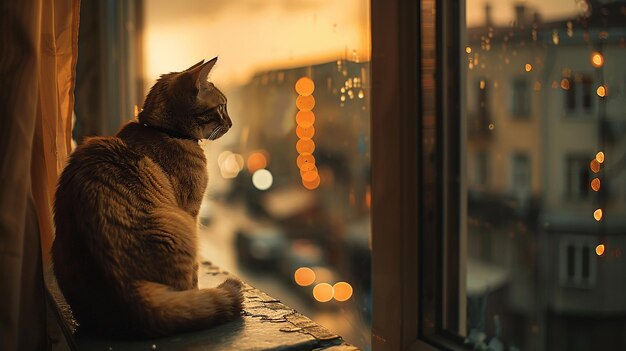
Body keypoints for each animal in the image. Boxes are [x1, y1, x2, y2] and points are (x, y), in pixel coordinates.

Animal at [51, 57, 243, 338]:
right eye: (221, 106)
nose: (231, 123)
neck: (164, 131)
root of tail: (127, 293)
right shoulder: (191, 212)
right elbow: (195, 272)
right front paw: (197, 291)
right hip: (181, 226)